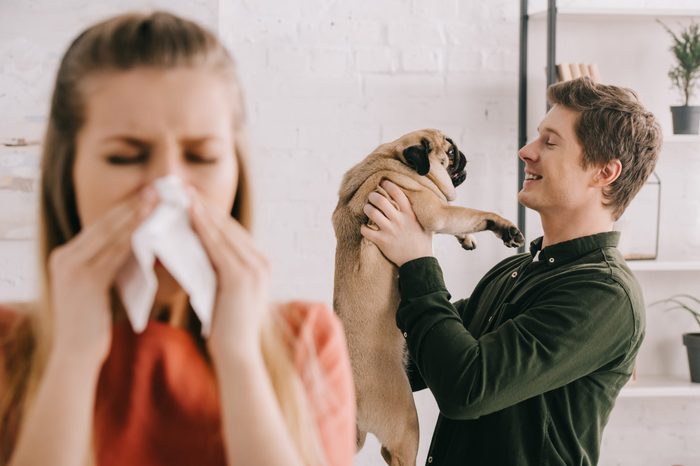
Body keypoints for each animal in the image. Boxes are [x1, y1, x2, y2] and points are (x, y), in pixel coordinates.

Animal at [334, 128, 524, 466]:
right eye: (449, 152)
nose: (462, 155)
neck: (393, 159)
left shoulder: (443, 213)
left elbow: (464, 219)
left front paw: (467, 238)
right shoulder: (436, 211)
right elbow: (474, 213)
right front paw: (504, 228)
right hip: (406, 425)